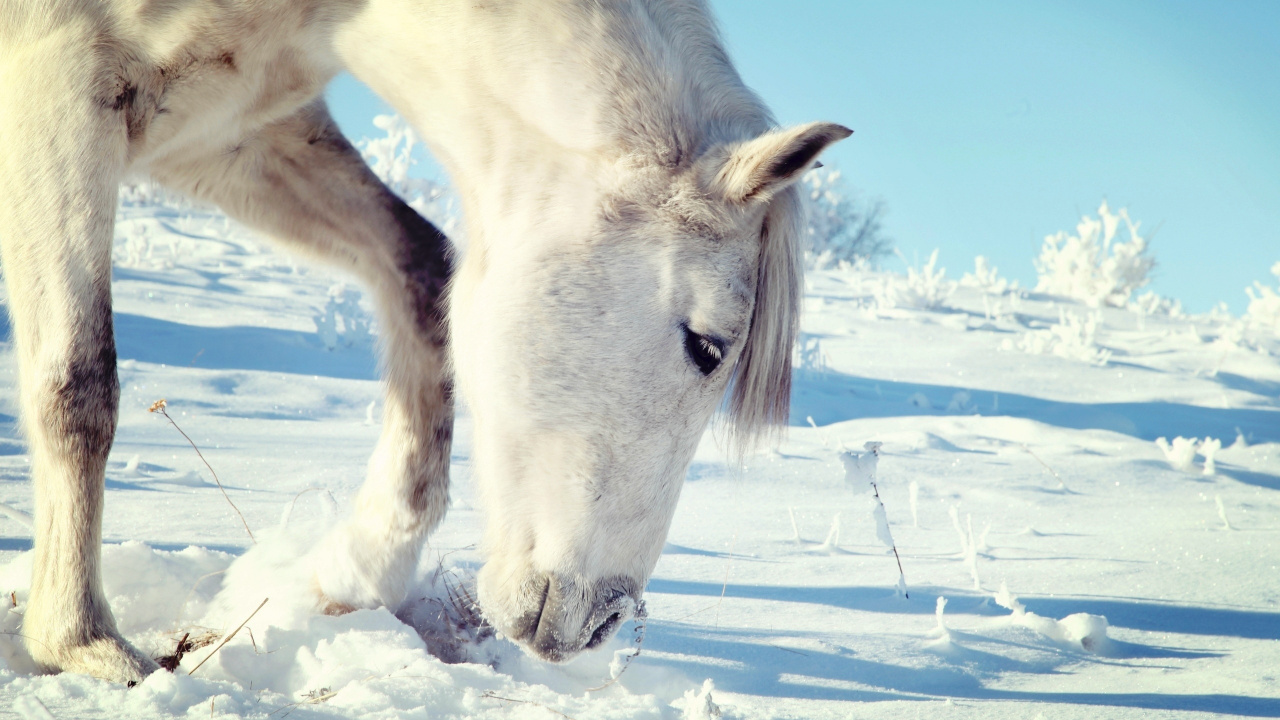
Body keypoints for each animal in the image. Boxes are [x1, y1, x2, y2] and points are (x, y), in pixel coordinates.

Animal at [0, 0, 849, 683]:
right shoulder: (61, 83)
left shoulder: (228, 132)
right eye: (707, 345)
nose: (601, 623)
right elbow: (78, 384)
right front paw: (81, 643)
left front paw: (355, 572)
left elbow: (421, 268)